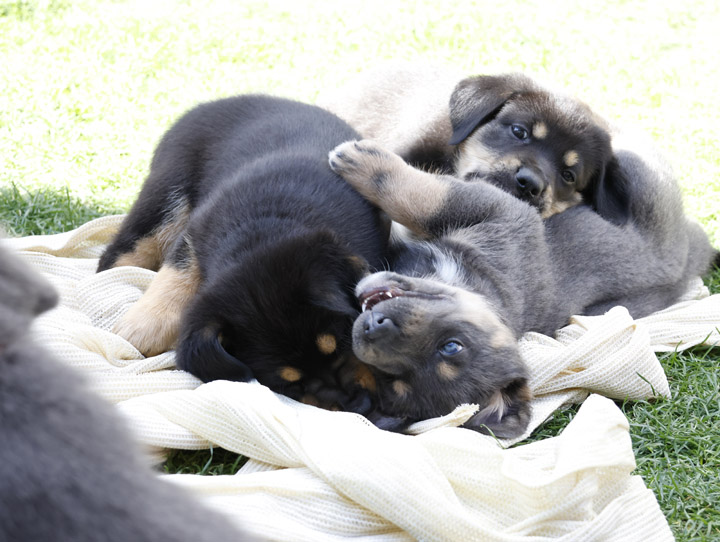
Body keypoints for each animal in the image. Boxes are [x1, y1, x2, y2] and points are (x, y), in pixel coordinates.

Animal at [97, 96, 388, 412]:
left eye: (345, 341)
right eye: (289, 385)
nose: (360, 408)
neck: (262, 234)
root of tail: (207, 105)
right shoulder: (198, 226)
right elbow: (180, 268)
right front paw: (144, 327)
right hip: (166, 195)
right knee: (118, 257)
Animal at [330, 133, 716, 442]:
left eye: (450, 348)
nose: (371, 326)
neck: (486, 284)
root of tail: (696, 252)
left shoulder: (501, 213)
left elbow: (424, 197)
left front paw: (360, 160)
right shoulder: (506, 215)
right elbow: (430, 199)